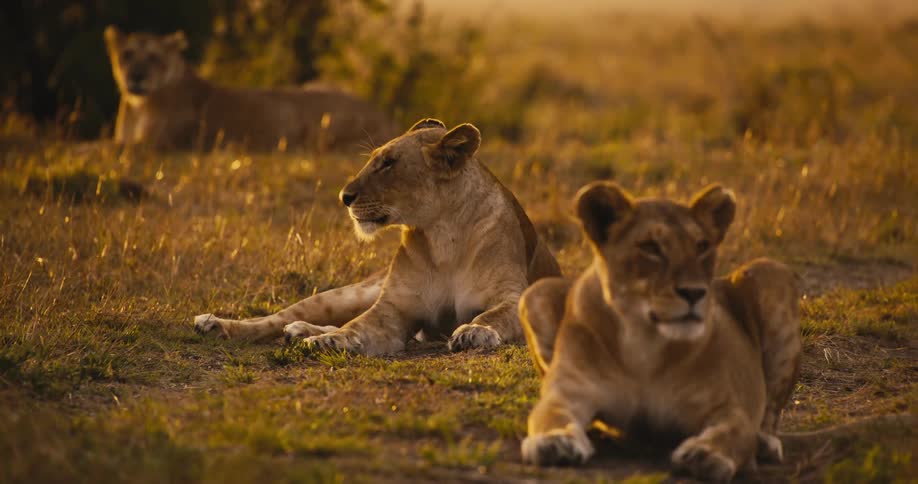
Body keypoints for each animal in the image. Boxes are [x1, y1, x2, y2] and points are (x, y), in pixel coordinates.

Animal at [104, 26, 396, 151]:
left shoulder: (157, 142)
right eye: (127, 54)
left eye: (154, 57)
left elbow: (102, 146)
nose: (136, 76)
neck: (139, 105)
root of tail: (383, 115)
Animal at [194, 118, 562, 354]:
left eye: (389, 163)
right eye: (373, 160)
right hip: (347, 295)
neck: (443, 236)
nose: (344, 197)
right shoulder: (393, 307)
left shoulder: (515, 297)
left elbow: (493, 315)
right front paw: (327, 342)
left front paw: (475, 331)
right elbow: (357, 327)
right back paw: (218, 324)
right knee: (278, 318)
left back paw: (298, 332)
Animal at [518, 182, 801, 482]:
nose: (694, 292)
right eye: (650, 247)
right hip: (537, 291)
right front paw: (555, 441)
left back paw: (763, 444)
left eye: (702, 246)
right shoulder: (567, 393)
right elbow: (550, 416)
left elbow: (734, 432)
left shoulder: (733, 407)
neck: (644, 347)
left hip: (771, 271)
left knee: (770, 414)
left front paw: (705, 454)